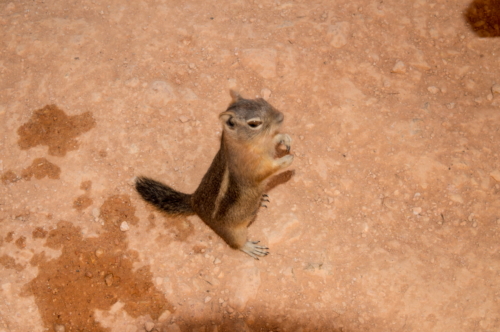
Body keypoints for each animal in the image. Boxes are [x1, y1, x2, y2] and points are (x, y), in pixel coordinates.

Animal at [135, 91, 294, 260]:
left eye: (262, 100)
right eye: (254, 123)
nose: (281, 116)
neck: (253, 143)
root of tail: (194, 202)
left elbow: (275, 138)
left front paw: (284, 138)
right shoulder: (252, 167)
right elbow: (267, 170)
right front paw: (287, 159)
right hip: (233, 231)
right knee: (236, 243)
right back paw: (250, 247)